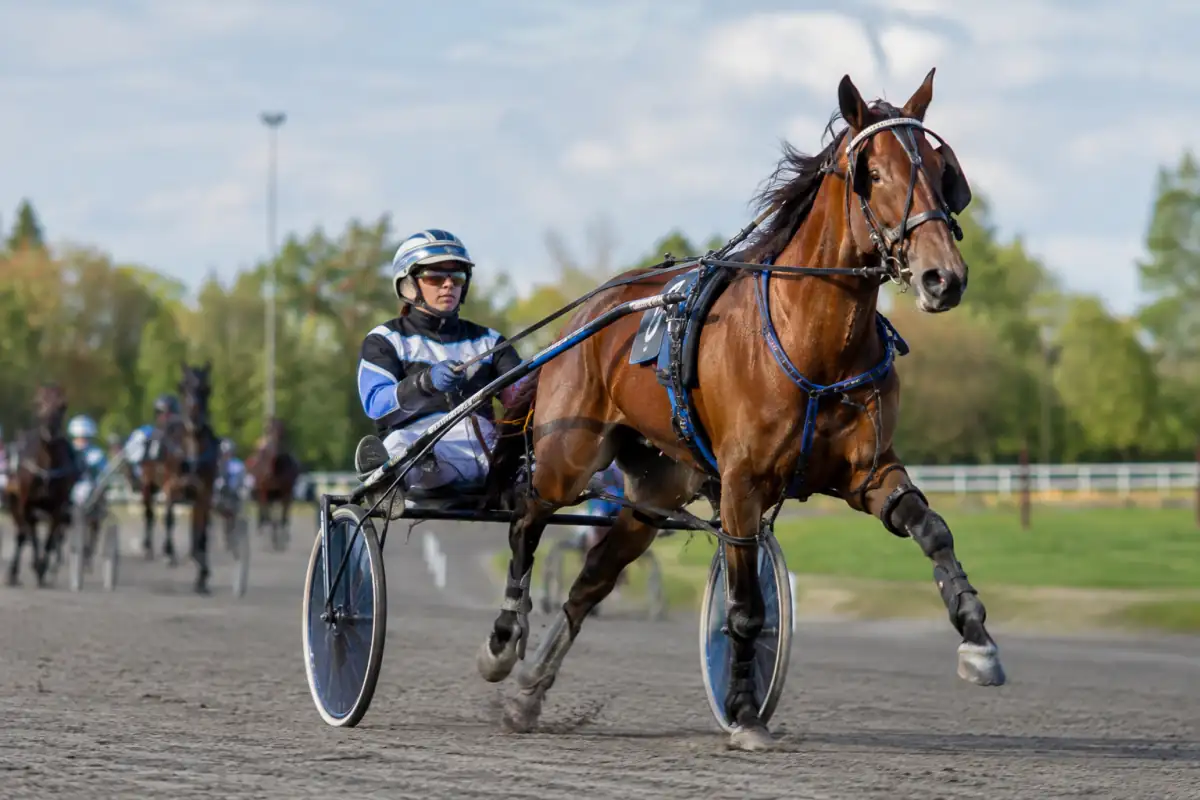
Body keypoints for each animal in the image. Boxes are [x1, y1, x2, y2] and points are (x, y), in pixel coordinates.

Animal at [4, 383, 80, 586]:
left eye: (63, 405)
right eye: (38, 403)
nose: (50, 430)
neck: (46, 465)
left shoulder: (58, 507)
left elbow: (50, 539)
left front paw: (42, 568)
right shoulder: (25, 502)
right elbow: (25, 534)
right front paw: (15, 571)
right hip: (15, 502)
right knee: (24, 531)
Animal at [138, 363, 221, 593]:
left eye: (207, 388)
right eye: (182, 387)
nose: (194, 419)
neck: (192, 448)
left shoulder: (203, 494)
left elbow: (201, 533)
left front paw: (202, 575)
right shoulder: (171, 486)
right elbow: (168, 517)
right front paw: (168, 553)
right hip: (148, 483)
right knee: (149, 513)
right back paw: (149, 548)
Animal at [246, 417, 301, 551]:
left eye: (281, 429)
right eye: (267, 428)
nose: (272, 441)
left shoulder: (286, 490)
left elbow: (284, 515)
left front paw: (282, 537)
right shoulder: (264, 490)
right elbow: (268, 513)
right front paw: (271, 538)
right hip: (262, 492)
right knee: (264, 510)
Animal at [478, 68, 1004, 750]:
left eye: (943, 171)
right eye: (873, 172)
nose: (945, 277)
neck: (814, 342)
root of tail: (593, 311)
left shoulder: (869, 472)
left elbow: (931, 529)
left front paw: (978, 639)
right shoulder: (741, 484)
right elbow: (747, 608)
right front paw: (746, 712)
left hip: (654, 492)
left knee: (590, 578)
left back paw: (529, 693)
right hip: (570, 455)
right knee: (527, 518)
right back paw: (504, 643)